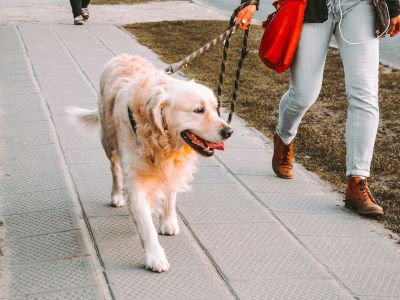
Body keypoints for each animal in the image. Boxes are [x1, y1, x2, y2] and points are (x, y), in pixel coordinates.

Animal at [67, 54, 233, 272]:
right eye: (198, 110)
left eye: (216, 108)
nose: (229, 131)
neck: (161, 140)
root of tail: (122, 56)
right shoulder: (135, 180)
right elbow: (146, 225)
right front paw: (155, 257)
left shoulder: (172, 167)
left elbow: (170, 194)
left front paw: (168, 221)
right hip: (109, 141)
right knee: (115, 169)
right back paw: (116, 195)